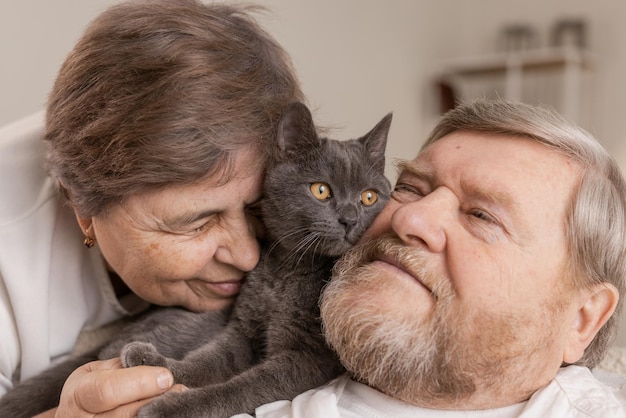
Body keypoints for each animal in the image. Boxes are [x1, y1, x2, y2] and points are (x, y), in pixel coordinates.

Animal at [0, 102, 390, 418]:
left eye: (370, 197)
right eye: (321, 190)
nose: (350, 219)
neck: (287, 272)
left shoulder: (307, 359)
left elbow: (243, 387)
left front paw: (171, 407)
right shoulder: (241, 330)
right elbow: (207, 361)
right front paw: (156, 368)